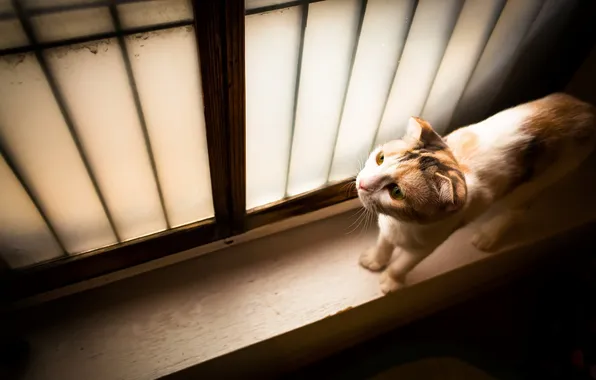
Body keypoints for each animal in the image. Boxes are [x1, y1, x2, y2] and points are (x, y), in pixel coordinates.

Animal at [356, 93, 592, 296]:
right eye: (380, 158)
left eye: (396, 192)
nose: (361, 184)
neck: (402, 222)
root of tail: (584, 109)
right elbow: (384, 242)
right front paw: (375, 259)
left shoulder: (431, 241)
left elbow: (404, 263)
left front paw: (391, 280)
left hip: (536, 182)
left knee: (518, 209)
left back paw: (488, 235)